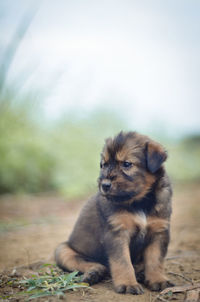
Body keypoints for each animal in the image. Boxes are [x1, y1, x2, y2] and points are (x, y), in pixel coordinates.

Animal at [55, 131, 173, 294]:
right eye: (103, 165)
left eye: (127, 164)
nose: (104, 185)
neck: (140, 202)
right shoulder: (117, 233)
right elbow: (123, 262)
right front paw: (128, 283)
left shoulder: (159, 231)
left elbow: (155, 260)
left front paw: (158, 279)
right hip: (63, 250)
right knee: (91, 264)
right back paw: (94, 273)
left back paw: (140, 273)